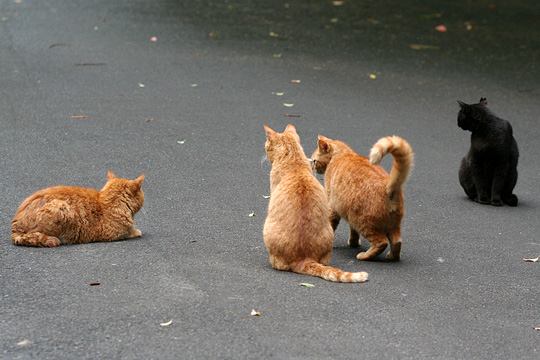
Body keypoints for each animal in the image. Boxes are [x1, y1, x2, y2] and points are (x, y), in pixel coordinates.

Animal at [11, 172, 144, 248]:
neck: (108, 200)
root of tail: (15, 224)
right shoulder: (114, 234)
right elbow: (131, 232)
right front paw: (136, 231)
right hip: (60, 206)